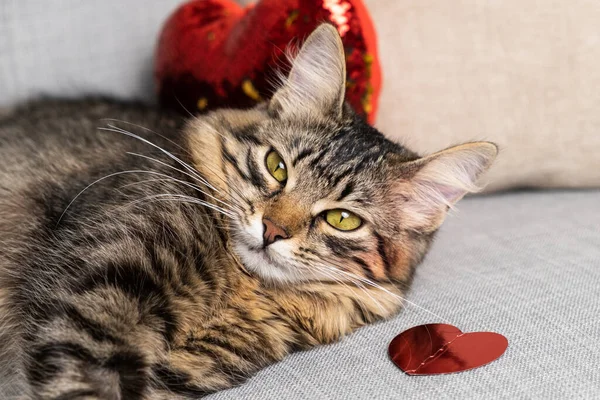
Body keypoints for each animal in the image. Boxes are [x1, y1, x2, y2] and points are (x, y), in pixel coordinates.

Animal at [0, 23, 496, 398]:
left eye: (342, 220)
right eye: (277, 167)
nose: (272, 230)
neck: (237, 287)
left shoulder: (194, 366)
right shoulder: (97, 297)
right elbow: (82, 382)